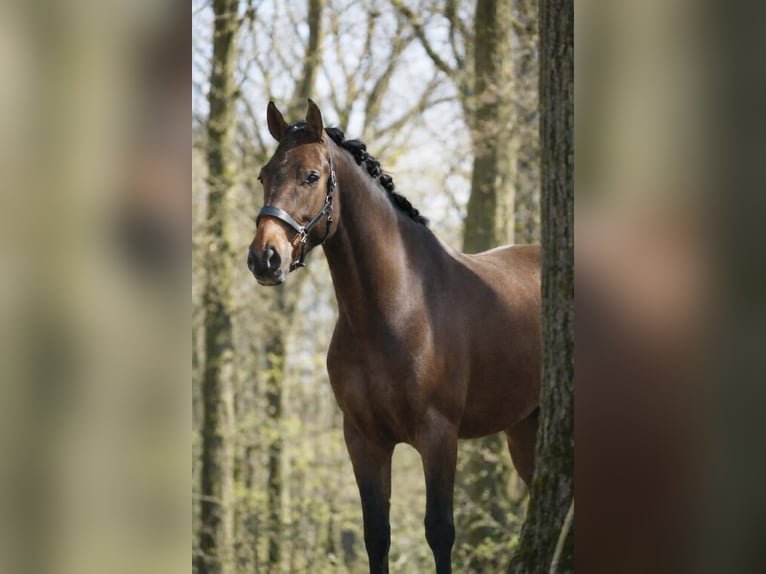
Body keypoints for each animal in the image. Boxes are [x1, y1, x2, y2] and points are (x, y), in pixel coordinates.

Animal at [248, 100, 541, 574]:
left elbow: (439, 532)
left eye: (311, 176)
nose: (265, 258)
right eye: (263, 175)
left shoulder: (438, 437)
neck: (396, 308)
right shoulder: (364, 440)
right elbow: (376, 535)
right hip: (524, 428)